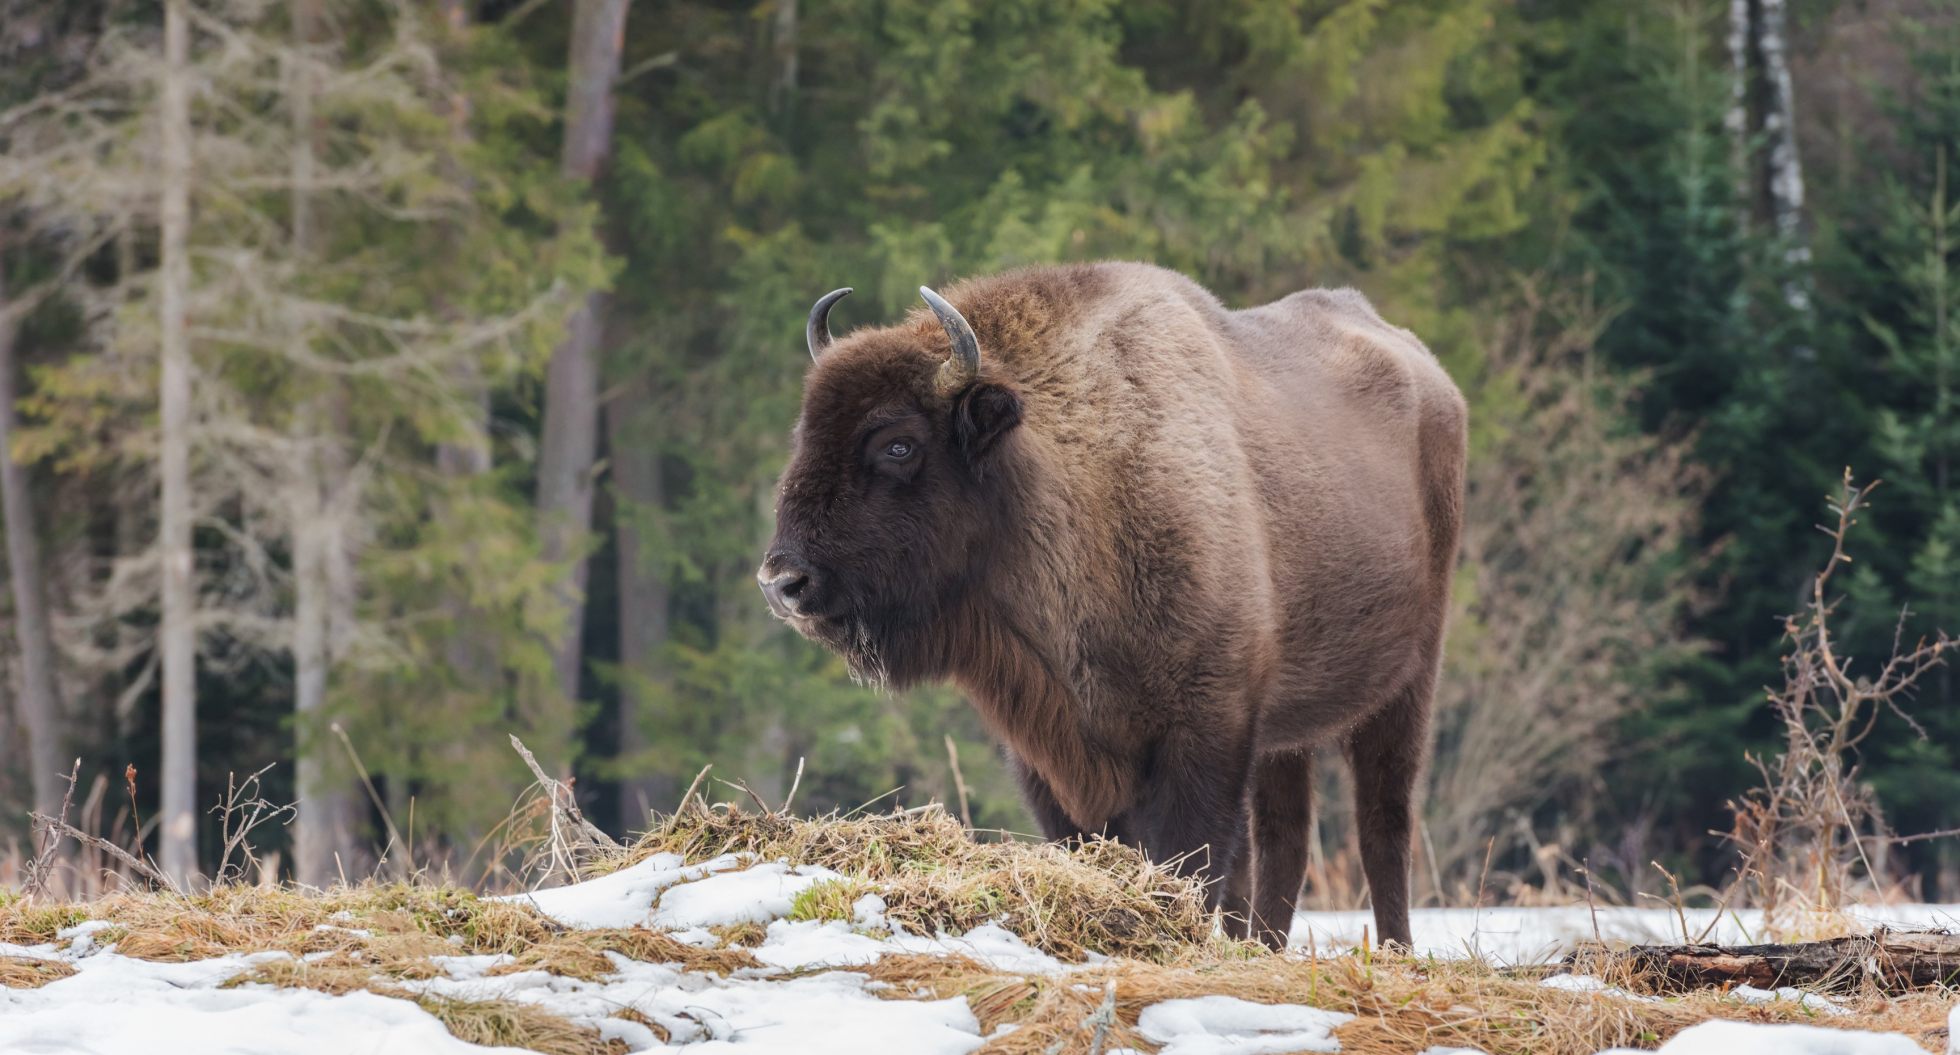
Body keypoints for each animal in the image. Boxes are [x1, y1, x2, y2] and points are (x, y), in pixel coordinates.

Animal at [759, 262, 1465, 950]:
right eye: (805, 434)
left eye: (898, 444)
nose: (782, 581)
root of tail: (1432, 377)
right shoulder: (1051, 752)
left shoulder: (1206, 733)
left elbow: (1196, 858)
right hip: (1287, 732)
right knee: (1286, 838)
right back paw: (1263, 950)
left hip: (1407, 686)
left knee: (1383, 824)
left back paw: (1396, 952)